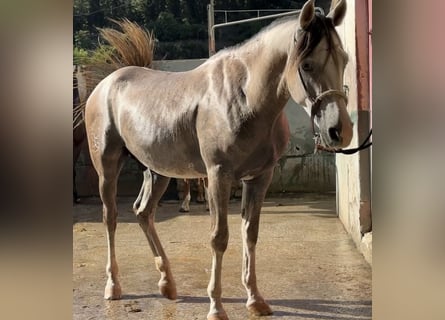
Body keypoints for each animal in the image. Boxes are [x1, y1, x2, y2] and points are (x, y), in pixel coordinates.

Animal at [85, 1, 352, 318]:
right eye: (307, 64)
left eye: (344, 60)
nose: (340, 131)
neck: (246, 98)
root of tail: (105, 85)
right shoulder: (218, 176)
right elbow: (219, 237)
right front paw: (216, 305)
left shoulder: (260, 177)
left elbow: (250, 233)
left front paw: (255, 299)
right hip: (107, 168)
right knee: (111, 218)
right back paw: (113, 286)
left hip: (157, 171)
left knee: (143, 213)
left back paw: (167, 283)